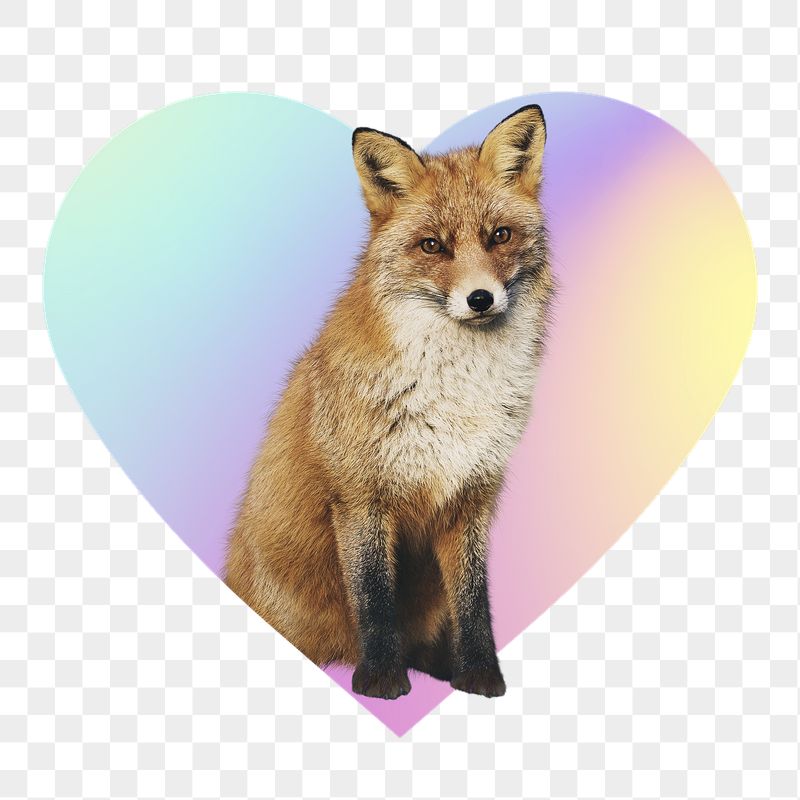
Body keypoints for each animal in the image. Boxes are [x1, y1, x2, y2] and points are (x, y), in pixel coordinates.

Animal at [224, 104, 555, 700]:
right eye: (432, 246)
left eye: (499, 235)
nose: (480, 298)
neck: (456, 395)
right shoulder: (360, 496)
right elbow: (375, 600)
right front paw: (380, 680)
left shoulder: (471, 496)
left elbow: (474, 603)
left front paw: (479, 675)